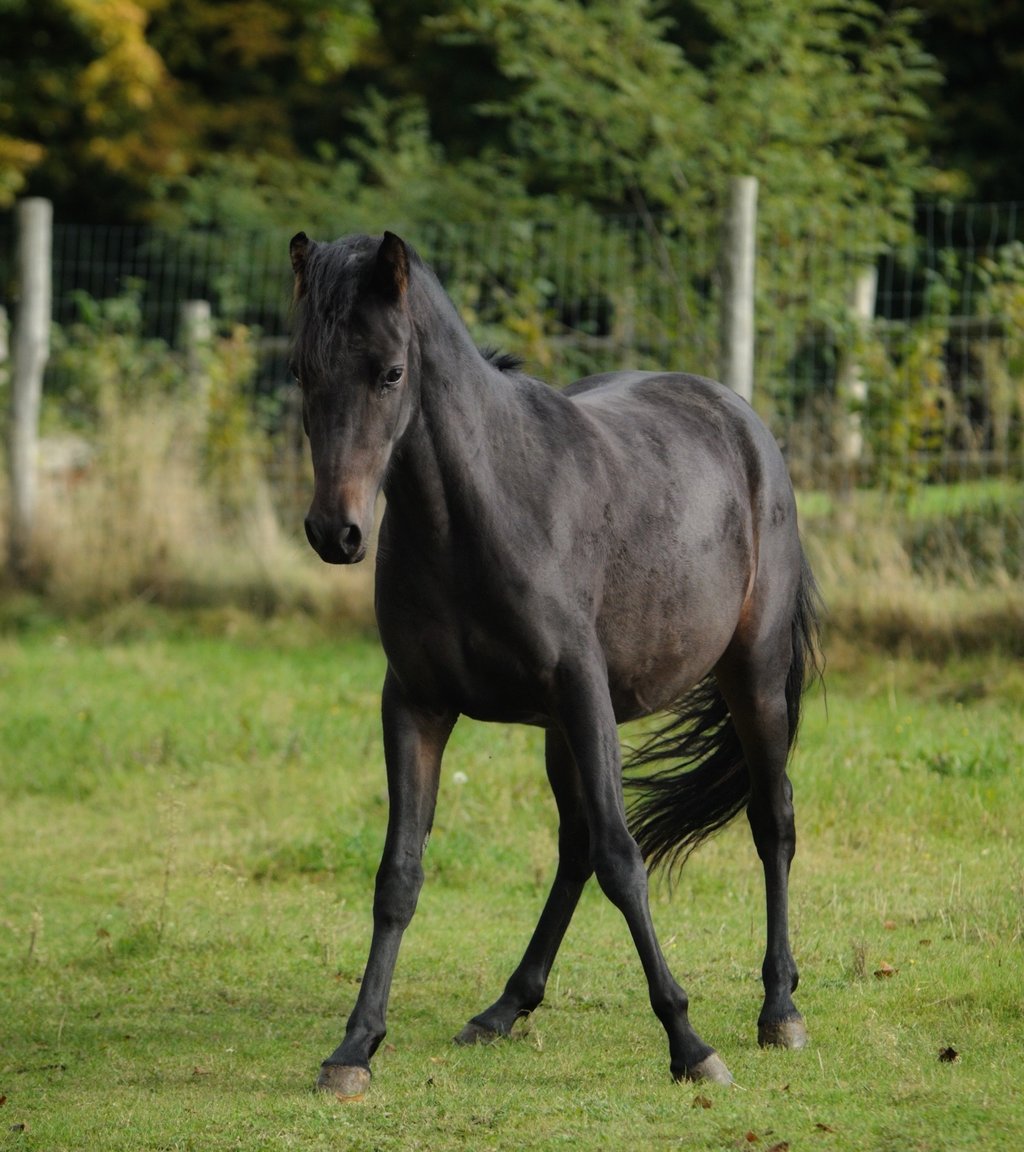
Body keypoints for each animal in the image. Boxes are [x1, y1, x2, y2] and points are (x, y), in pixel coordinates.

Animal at [288, 230, 823, 1099]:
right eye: (302, 371)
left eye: (391, 372)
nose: (336, 532)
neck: (477, 516)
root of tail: (743, 422)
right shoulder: (417, 705)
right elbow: (399, 873)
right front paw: (353, 1048)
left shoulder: (583, 695)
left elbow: (622, 857)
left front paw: (689, 1042)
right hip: (558, 731)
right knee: (573, 847)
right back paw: (505, 1008)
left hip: (754, 680)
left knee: (770, 821)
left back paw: (780, 1010)